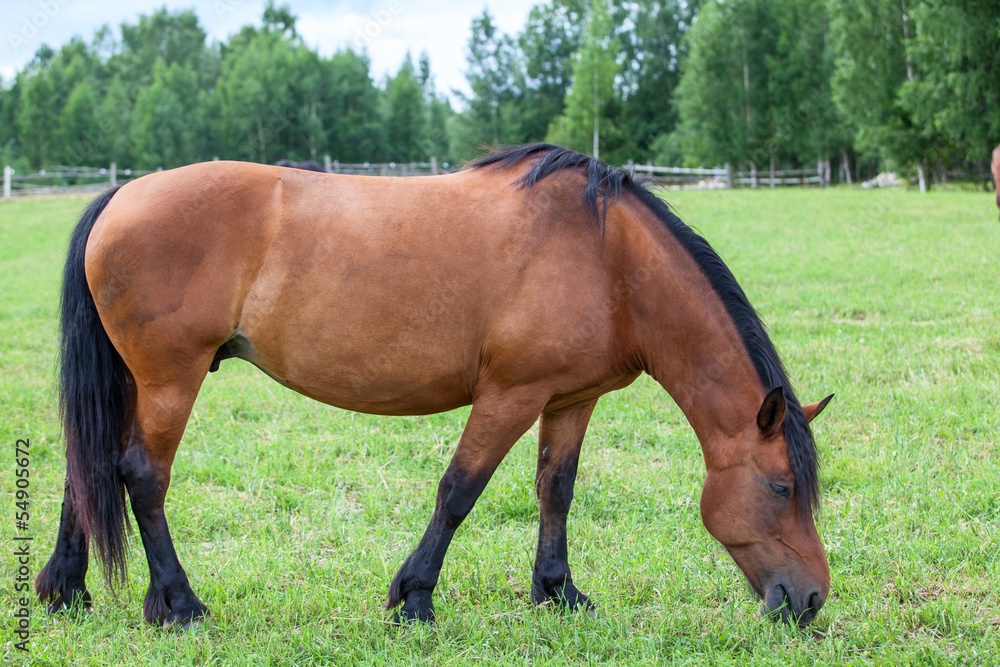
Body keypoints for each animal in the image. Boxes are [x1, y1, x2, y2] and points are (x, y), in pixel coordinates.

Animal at [37, 143, 834, 629]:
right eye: (782, 488)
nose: (810, 599)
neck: (609, 258)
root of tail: (121, 195)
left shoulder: (570, 400)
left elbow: (556, 490)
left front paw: (557, 591)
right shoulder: (510, 394)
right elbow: (460, 490)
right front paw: (414, 596)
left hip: (135, 382)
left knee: (91, 469)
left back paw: (65, 588)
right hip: (169, 380)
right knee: (141, 475)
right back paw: (178, 602)